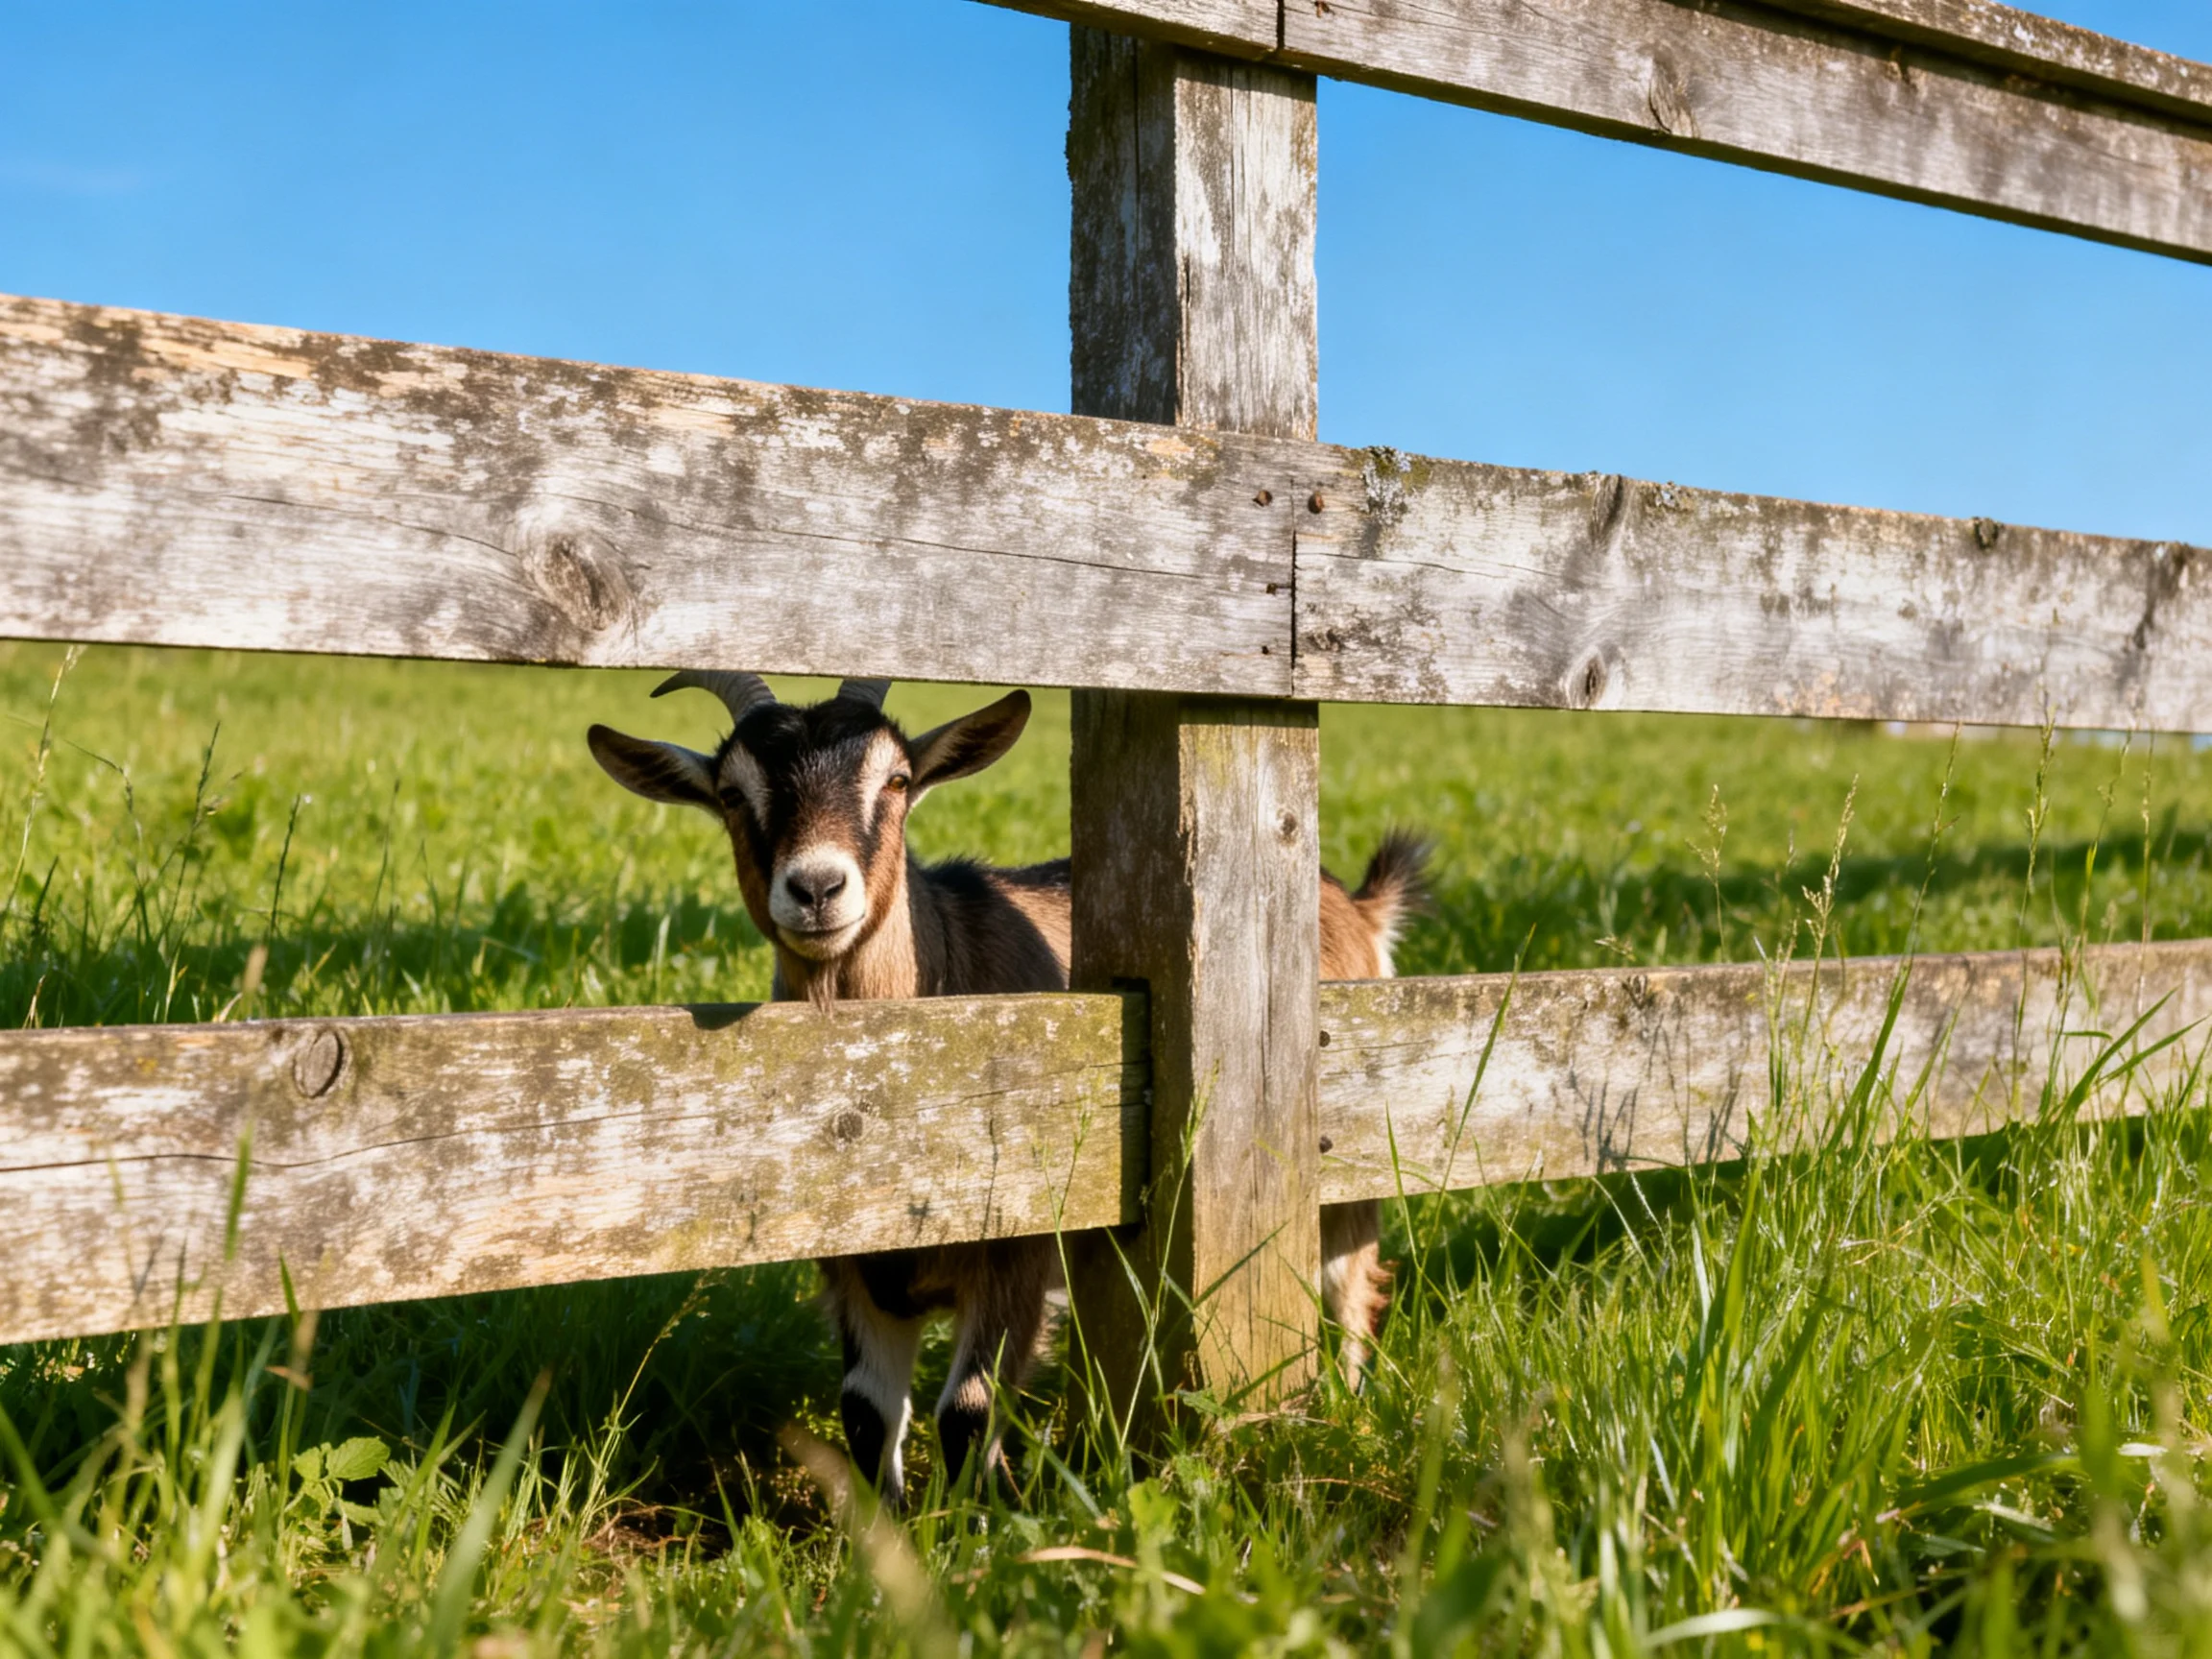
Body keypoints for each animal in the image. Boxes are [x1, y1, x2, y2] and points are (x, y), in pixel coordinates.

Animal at [588, 673, 1425, 1498]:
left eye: (897, 781)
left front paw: (976, 1525)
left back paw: (1345, 1415)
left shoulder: (1017, 1255)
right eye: (732, 794)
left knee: (1349, 1288)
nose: (818, 887)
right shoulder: (856, 1273)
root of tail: (1355, 906)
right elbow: (865, 1414)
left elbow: (967, 1411)